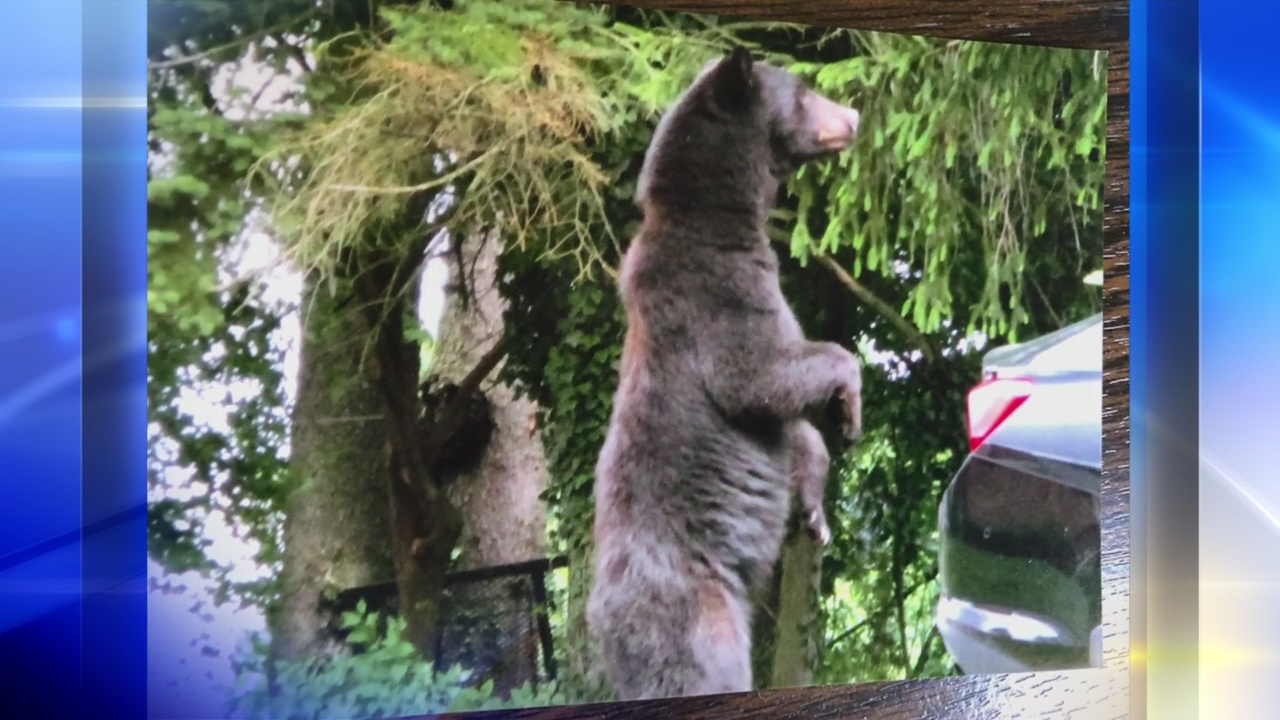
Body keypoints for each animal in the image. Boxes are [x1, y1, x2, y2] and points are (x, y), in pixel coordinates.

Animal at [585, 46, 864, 701]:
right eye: (804, 92)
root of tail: (600, 628)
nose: (856, 116)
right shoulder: (714, 295)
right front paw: (849, 404)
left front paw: (815, 508)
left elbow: (790, 424)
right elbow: (756, 377)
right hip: (692, 613)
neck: (719, 220)